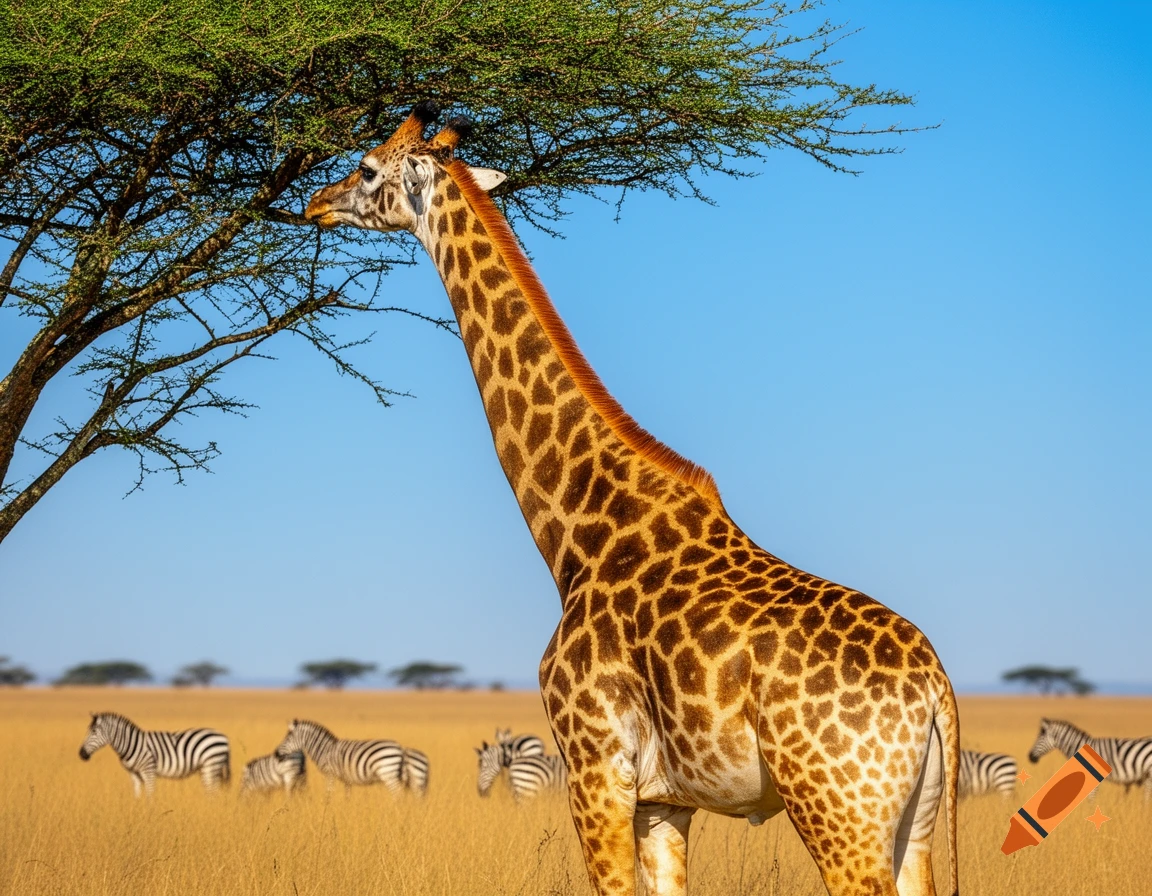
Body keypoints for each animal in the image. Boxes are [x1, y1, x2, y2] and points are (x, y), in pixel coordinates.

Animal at [78, 711, 230, 796]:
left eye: (94, 732)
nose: (81, 754)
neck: (131, 743)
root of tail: (223, 737)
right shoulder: (134, 774)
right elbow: (137, 794)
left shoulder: (148, 770)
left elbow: (150, 794)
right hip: (208, 768)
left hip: (211, 765)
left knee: (212, 791)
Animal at [274, 719, 427, 795]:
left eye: (287, 738)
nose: (276, 754)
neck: (325, 750)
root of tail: (401, 749)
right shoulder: (346, 779)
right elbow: (347, 795)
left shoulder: (330, 774)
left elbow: (328, 794)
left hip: (388, 773)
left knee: (397, 794)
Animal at [306, 102, 960, 896]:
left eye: (367, 167)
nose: (314, 203)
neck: (578, 535)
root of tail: (936, 690)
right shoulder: (662, 801)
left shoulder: (594, 766)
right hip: (912, 825)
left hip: (840, 810)